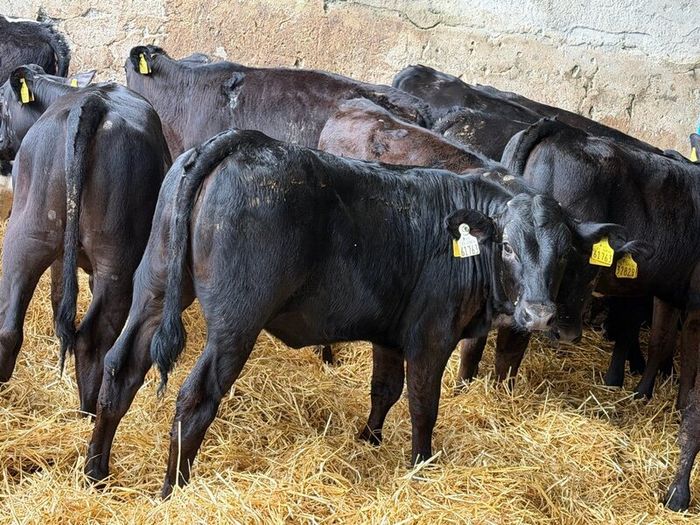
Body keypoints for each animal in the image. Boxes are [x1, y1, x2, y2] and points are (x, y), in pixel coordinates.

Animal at [0, 65, 170, 415]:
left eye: (0, 101)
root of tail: (91, 103)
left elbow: (56, 291)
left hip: (26, 235)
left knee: (7, 327)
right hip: (116, 258)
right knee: (93, 339)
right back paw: (88, 411)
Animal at [83, 128, 632, 497]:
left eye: (564, 256)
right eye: (510, 248)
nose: (539, 314)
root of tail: (240, 142)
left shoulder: (391, 334)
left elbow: (385, 390)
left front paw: (369, 440)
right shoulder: (431, 335)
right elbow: (423, 404)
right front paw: (421, 465)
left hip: (154, 287)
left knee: (121, 369)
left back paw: (96, 473)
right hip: (235, 325)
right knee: (194, 398)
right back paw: (171, 491)